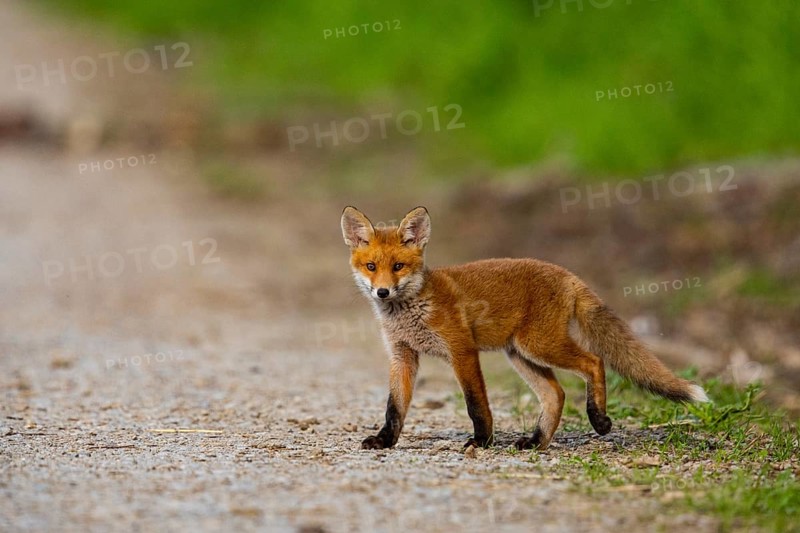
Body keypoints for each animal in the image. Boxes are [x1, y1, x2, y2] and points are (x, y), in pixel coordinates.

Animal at [341, 206, 709, 451]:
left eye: (398, 266)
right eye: (371, 266)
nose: (382, 292)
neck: (413, 309)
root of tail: (566, 273)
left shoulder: (462, 350)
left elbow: (476, 403)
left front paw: (482, 440)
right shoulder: (403, 355)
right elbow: (394, 407)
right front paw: (385, 441)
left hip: (540, 345)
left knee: (594, 362)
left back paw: (599, 419)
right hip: (520, 354)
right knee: (556, 394)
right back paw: (537, 441)